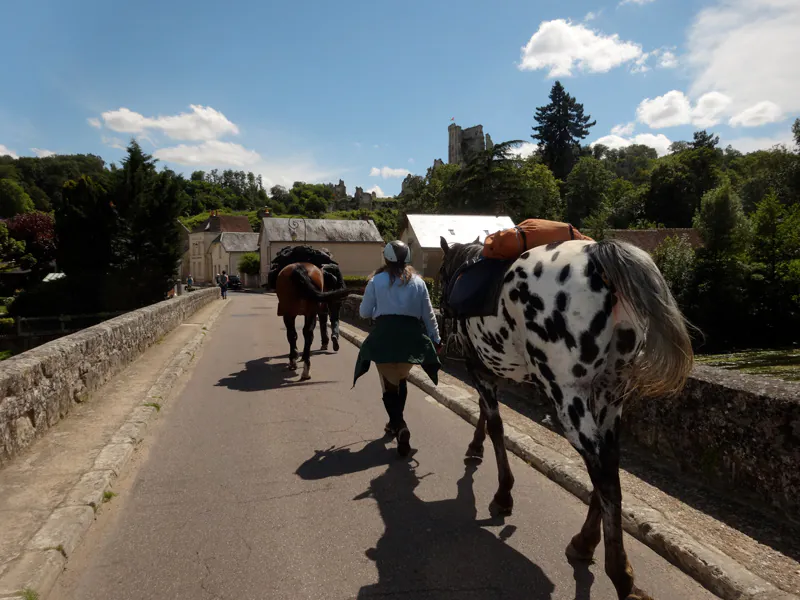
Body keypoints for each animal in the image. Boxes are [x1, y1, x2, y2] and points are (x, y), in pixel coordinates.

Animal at [438, 237, 692, 596]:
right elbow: (486, 417)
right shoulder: (490, 372)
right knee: (608, 462)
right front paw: (476, 449)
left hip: (568, 396)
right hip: (610, 394)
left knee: (601, 469)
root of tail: (598, 256)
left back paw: (620, 574)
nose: (442, 309)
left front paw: (502, 494)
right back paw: (585, 542)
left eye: (440, 272)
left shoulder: (479, 370)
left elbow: (496, 426)